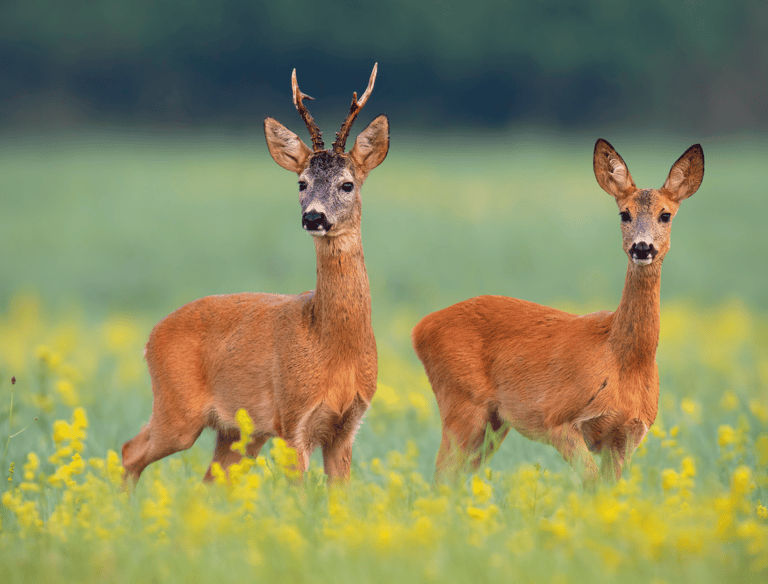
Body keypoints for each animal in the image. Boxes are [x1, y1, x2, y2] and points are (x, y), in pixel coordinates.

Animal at [121, 64, 389, 488]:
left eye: (347, 184)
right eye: (301, 183)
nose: (314, 217)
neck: (332, 346)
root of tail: (150, 338)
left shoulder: (347, 426)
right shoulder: (292, 418)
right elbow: (299, 493)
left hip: (236, 432)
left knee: (207, 479)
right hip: (177, 409)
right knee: (130, 451)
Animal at [412, 139, 704, 488]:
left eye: (665, 215)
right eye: (624, 213)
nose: (642, 247)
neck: (623, 360)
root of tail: (420, 328)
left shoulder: (628, 435)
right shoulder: (559, 419)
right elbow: (591, 485)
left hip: (493, 423)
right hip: (461, 402)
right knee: (440, 478)